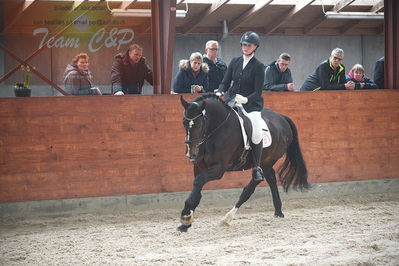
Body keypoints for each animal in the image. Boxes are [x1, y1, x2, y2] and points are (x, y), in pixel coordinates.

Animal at [178, 93, 310, 231]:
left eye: (199, 124)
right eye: (184, 122)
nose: (191, 153)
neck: (218, 128)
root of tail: (282, 118)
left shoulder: (219, 169)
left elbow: (199, 181)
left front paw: (186, 216)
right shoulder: (199, 166)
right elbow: (197, 188)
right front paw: (186, 222)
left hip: (268, 160)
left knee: (251, 187)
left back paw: (228, 218)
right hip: (266, 163)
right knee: (271, 179)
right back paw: (278, 212)